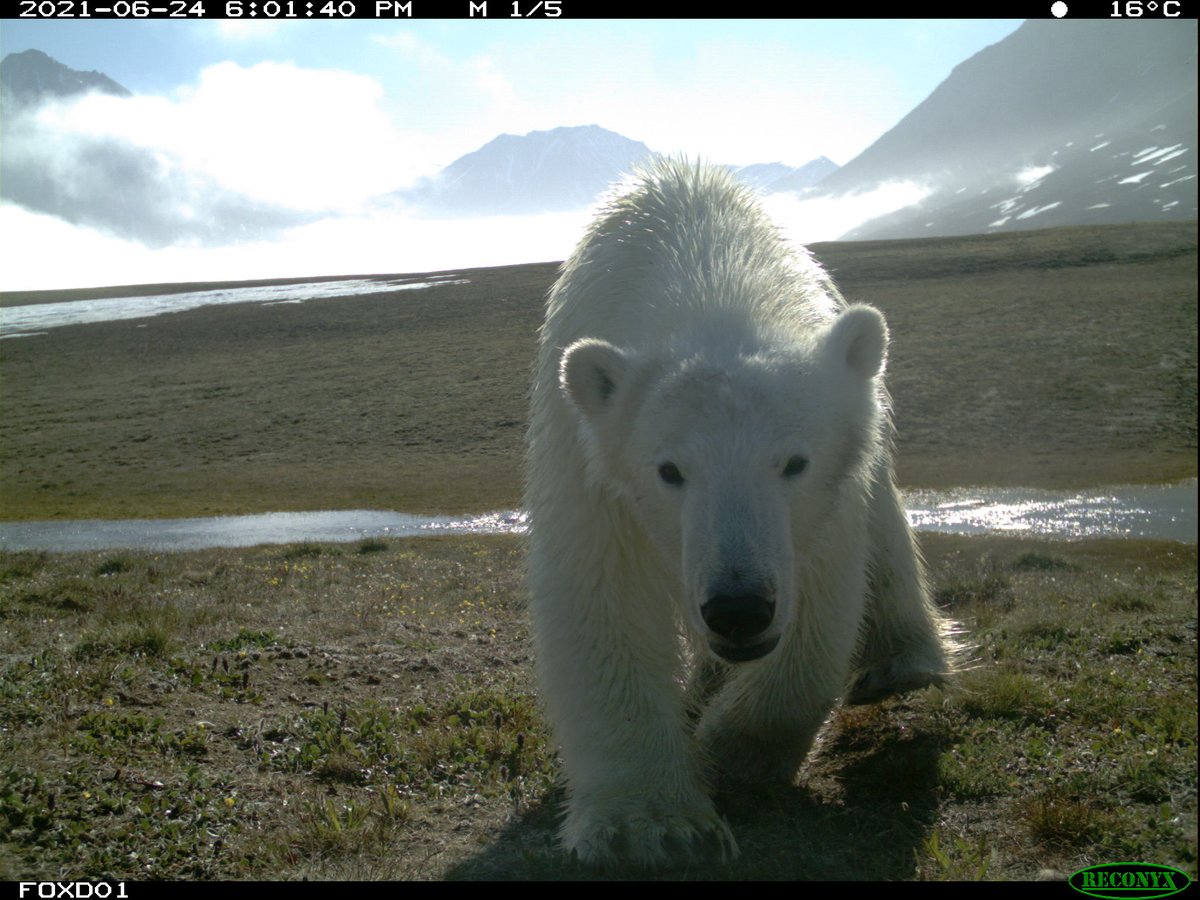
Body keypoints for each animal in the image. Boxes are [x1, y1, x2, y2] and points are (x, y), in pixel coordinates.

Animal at [525, 159, 953, 869]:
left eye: (793, 462)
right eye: (670, 470)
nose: (738, 608)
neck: (706, 272)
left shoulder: (828, 495)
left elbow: (820, 604)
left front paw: (729, 753)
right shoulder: (589, 459)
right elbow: (603, 598)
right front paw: (652, 826)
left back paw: (903, 661)